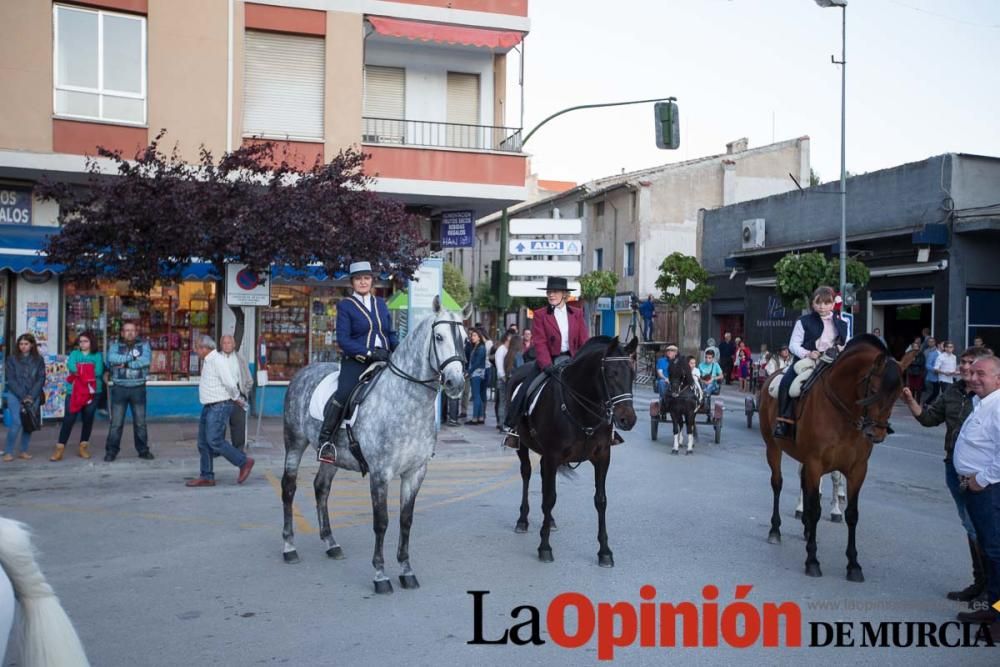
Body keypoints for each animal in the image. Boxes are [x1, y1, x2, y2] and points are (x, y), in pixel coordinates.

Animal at [280, 302, 466, 596]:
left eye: (466, 340)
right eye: (439, 337)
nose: (456, 383)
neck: (406, 401)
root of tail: (303, 371)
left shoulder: (415, 472)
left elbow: (405, 520)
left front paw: (406, 570)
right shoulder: (381, 473)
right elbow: (382, 522)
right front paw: (380, 575)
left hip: (331, 456)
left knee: (321, 488)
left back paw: (331, 543)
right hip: (295, 443)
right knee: (289, 488)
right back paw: (289, 547)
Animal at [512, 336, 636, 568]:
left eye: (632, 374)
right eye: (611, 373)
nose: (628, 419)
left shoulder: (602, 457)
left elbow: (601, 500)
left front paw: (604, 551)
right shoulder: (553, 456)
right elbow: (550, 497)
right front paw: (545, 547)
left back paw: (550, 520)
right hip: (523, 444)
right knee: (526, 473)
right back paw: (522, 520)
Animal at [756, 336, 916, 580]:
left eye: (899, 393)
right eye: (874, 389)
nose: (876, 434)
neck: (843, 412)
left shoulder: (857, 469)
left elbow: (852, 513)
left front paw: (854, 564)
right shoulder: (816, 463)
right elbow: (815, 509)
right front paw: (812, 560)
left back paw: (806, 529)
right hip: (773, 447)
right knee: (777, 484)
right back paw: (775, 530)